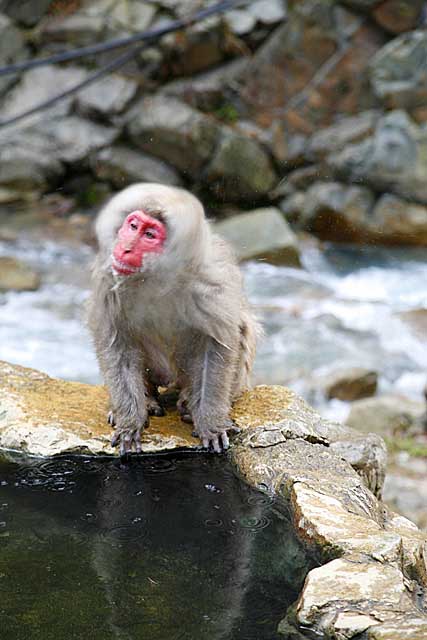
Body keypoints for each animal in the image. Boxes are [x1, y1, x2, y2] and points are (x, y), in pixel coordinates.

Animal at [88, 182, 260, 458]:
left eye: (150, 235)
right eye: (133, 226)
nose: (124, 248)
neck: (155, 276)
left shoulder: (213, 283)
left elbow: (216, 345)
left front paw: (210, 423)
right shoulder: (108, 280)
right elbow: (116, 343)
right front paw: (130, 422)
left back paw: (189, 403)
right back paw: (147, 399)